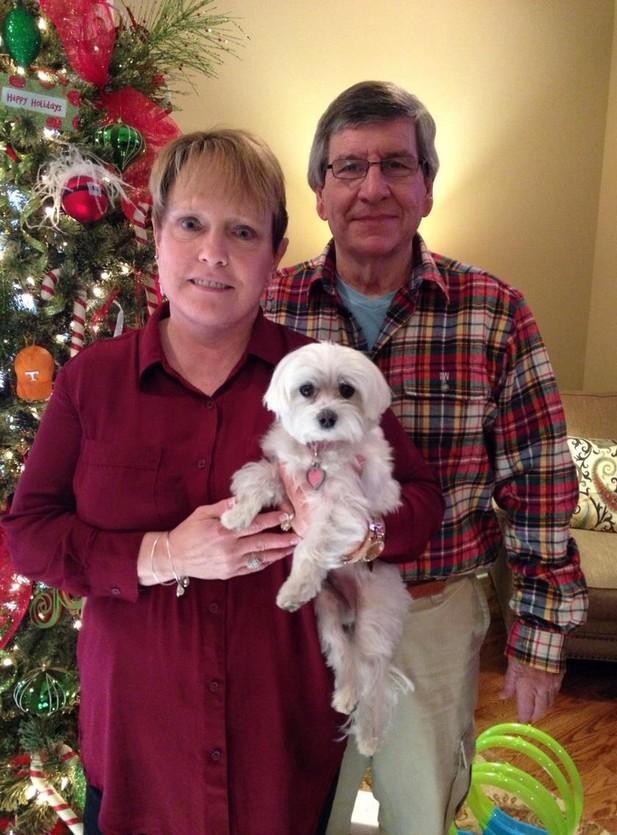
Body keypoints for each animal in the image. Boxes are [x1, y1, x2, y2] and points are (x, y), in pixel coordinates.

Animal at [220, 341, 412, 755]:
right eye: (306, 390)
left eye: (346, 390)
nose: (326, 417)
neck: (320, 454)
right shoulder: (283, 473)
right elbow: (258, 478)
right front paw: (238, 515)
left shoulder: (344, 510)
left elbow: (311, 546)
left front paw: (294, 588)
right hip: (327, 610)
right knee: (342, 653)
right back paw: (344, 695)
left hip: (373, 618)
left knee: (372, 674)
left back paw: (368, 735)